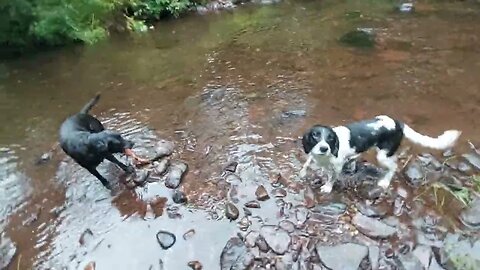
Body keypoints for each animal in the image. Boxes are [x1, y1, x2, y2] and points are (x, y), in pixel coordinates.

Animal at [300, 115, 462, 193]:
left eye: (330, 139)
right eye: (315, 135)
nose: (324, 148)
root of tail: (398, 124)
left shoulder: (337, 166)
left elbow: (332, 178)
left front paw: (327, 188)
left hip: (383, 155)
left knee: (394, 167)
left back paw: (384, 182)